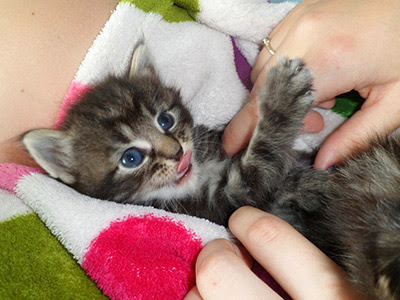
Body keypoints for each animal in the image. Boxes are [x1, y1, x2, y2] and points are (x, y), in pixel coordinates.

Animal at [24, 45, 400, 300]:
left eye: (165, 120)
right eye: (131, 158)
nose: (177, 152)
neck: (202, 172)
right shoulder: (232, 199)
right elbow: (263, 160)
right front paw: (282, 98)